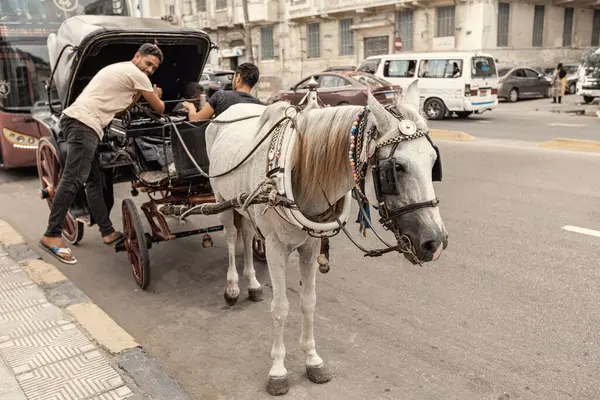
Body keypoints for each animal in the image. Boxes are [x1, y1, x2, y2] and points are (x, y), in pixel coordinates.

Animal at [205, 80, 446, 394]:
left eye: (433, 162)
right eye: (396, 169)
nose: (435, 243)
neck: (295, 168)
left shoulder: (309, 245)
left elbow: (308, 302)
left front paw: (312, 360)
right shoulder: (275, 247)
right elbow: (280, 308)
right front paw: (278, 370)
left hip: (244, 204)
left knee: (246, 234)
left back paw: (253, 284)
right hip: (221, 200)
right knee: (233, 237)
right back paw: (233, 287)